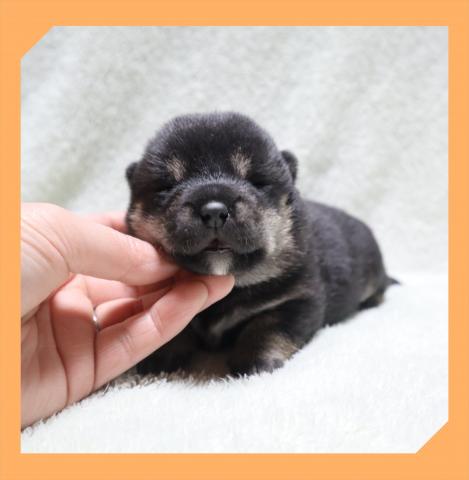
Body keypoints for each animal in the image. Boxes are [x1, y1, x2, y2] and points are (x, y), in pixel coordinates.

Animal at [125, 112, 396, 376]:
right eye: (166, 187)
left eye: (257, 182)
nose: (214, 210)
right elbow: (178, 328)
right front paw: (161, 356)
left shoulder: (297, 299)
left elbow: (266, 328)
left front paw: (255, 362)